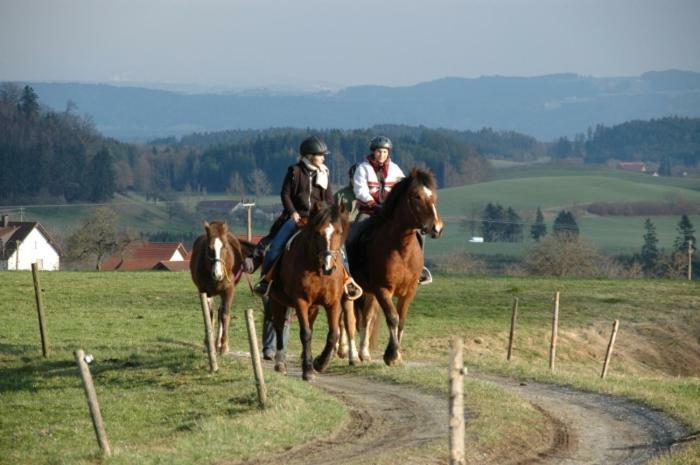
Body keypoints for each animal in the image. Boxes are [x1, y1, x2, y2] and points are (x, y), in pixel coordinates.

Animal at [190, 219, 256, 354]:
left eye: (225, 246)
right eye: (209, 248)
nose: (218, 274)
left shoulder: (228, 290)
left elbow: (225, 314)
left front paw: (224, 345)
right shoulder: (204, 291)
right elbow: (209, 314)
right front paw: (207, 344)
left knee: (221, 313)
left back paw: (219, 343)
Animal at [266, 201, 348, 378]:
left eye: (339, 232)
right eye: (317, 233)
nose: (328, 266)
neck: (316, 269)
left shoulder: (333, 303)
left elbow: (333, 334)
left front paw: (320, 363)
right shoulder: (301, 301)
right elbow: (305, 333)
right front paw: (308, 369)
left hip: (313, 307)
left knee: (310, 324)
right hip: (277, 300)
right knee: (279, 327)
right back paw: (280, 362)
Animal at [348, 168, 446, 366]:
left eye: (434, 196)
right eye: (416, 196)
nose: (437, 228)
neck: (401, 249)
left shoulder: (409, 291)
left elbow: (401, 320)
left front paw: (397, 354)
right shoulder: (383, 289)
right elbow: (392, 318)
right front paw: (391, 355)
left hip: (368, 293)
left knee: (366, 318)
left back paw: (364, 353)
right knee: (348, 321)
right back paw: (351, 355)